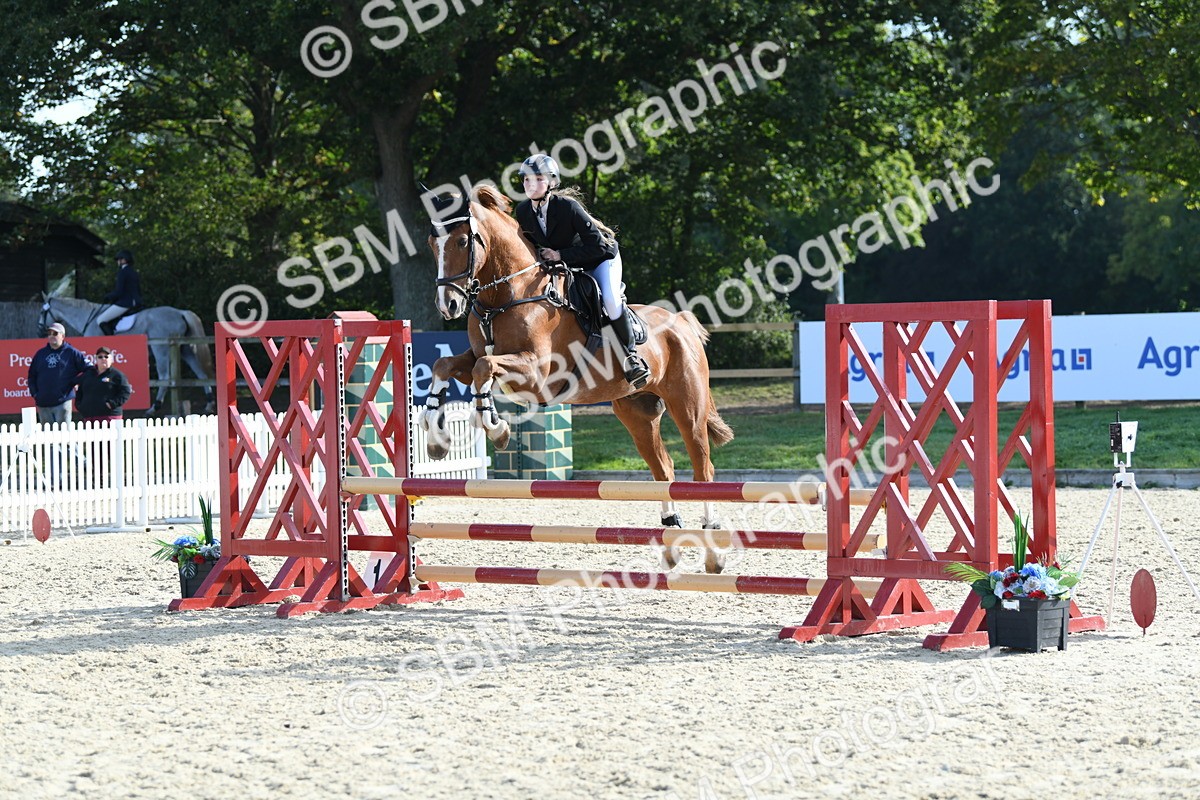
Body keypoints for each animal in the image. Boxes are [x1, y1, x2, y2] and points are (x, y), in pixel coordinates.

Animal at [38, 294, 215, 415]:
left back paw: (154, 407)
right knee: (200, 373)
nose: (40, 329)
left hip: (161, 348)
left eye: (42, 312)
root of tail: (180, 312)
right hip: (186, 349)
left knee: (165, 377)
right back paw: (209, 404)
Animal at [416, 184, 735, 573]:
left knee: (703, 469)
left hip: (688, 409)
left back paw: (713, 553)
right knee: (664, 470)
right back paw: (671, 545)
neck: (506, 296)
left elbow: (484, 370)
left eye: (463, 241)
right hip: (637, 413)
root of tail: (682, 323)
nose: (448, 305)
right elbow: (446, 365)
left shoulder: (536, 373)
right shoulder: (477, 357)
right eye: (433, 244)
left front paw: (497, 428)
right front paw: (436, 436)